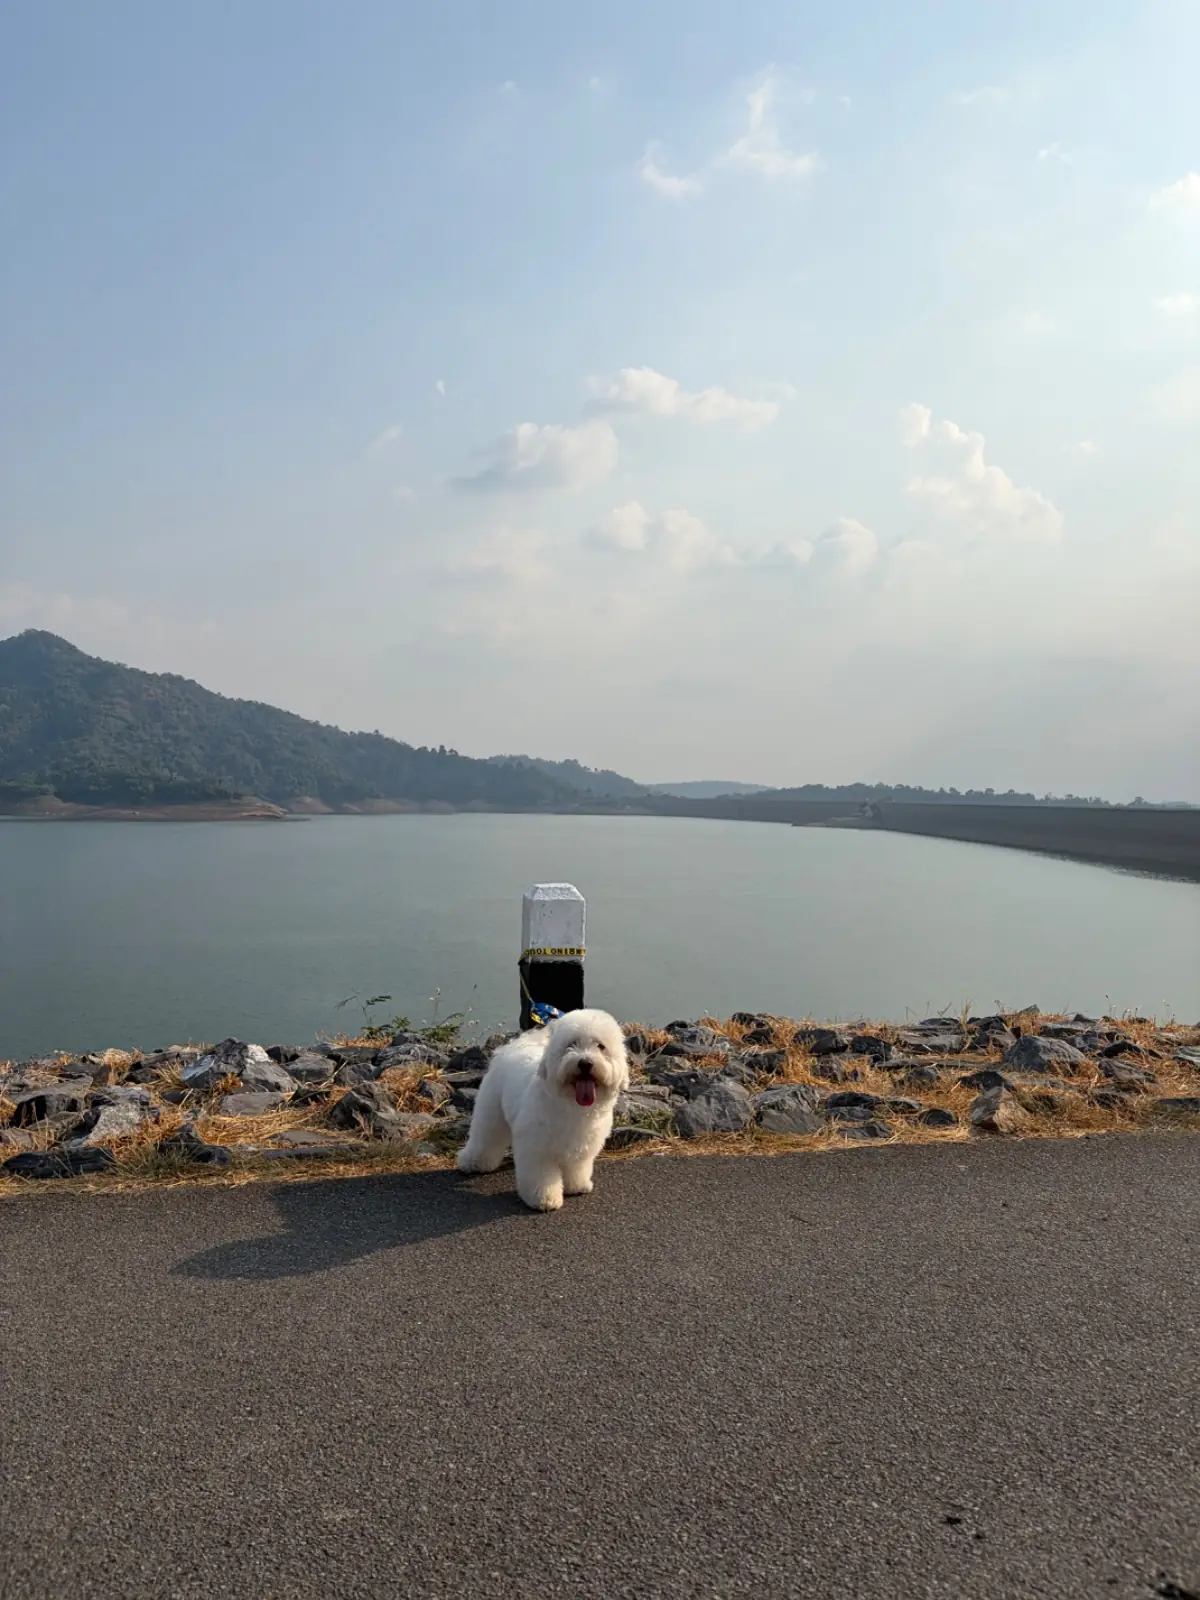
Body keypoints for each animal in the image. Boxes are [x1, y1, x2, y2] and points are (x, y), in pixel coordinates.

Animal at [456, 1009, 629, 1211]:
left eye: (600, 1046)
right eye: (571, 1044)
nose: (585, 1063)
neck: (572, 1105)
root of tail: (514, 1046)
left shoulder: (582, 1145)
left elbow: (577, 1167)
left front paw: (576, 1185)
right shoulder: (537, 1147)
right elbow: (541, 1176)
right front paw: (544, 1199)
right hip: (491, 1112)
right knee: (485, 1138)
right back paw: (473, 1162)